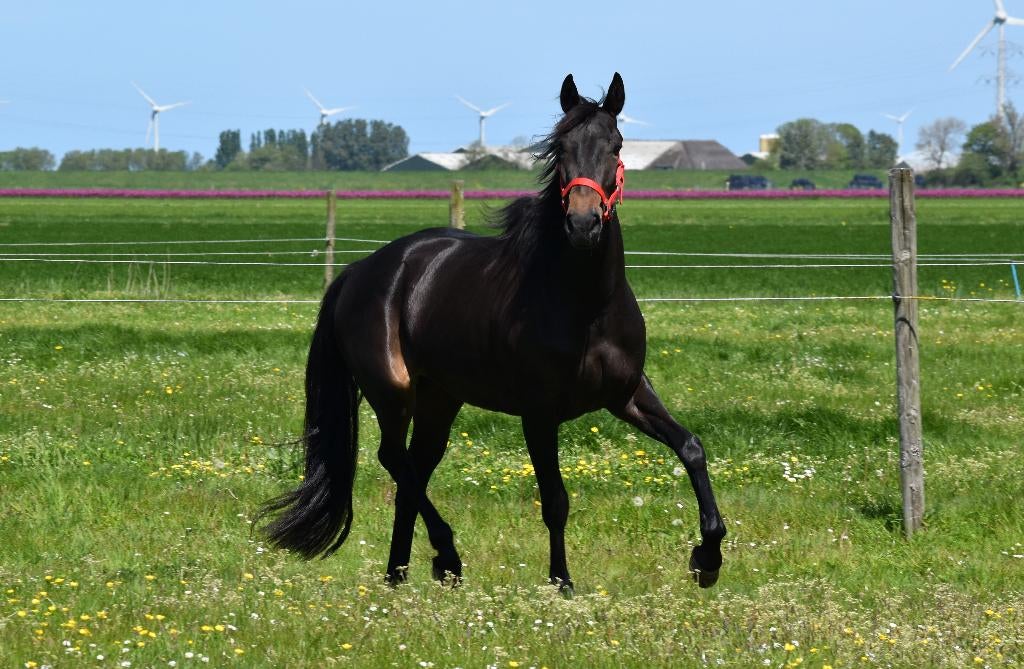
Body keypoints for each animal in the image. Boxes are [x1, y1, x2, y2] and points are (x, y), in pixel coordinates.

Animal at [258, 73, 726, 592]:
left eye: (616, 145)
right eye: (561, 147)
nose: (583, 224)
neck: (587, 307)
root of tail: (361, 270)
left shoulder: (627, 395)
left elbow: (692, 448)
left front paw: (707, 557)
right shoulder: (539, 415)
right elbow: (555, 500)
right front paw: (562, 583)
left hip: (440, 399)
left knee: (412, 472)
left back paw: (399, 574)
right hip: (392, 392)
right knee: (395, 460)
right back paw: (446, 557)